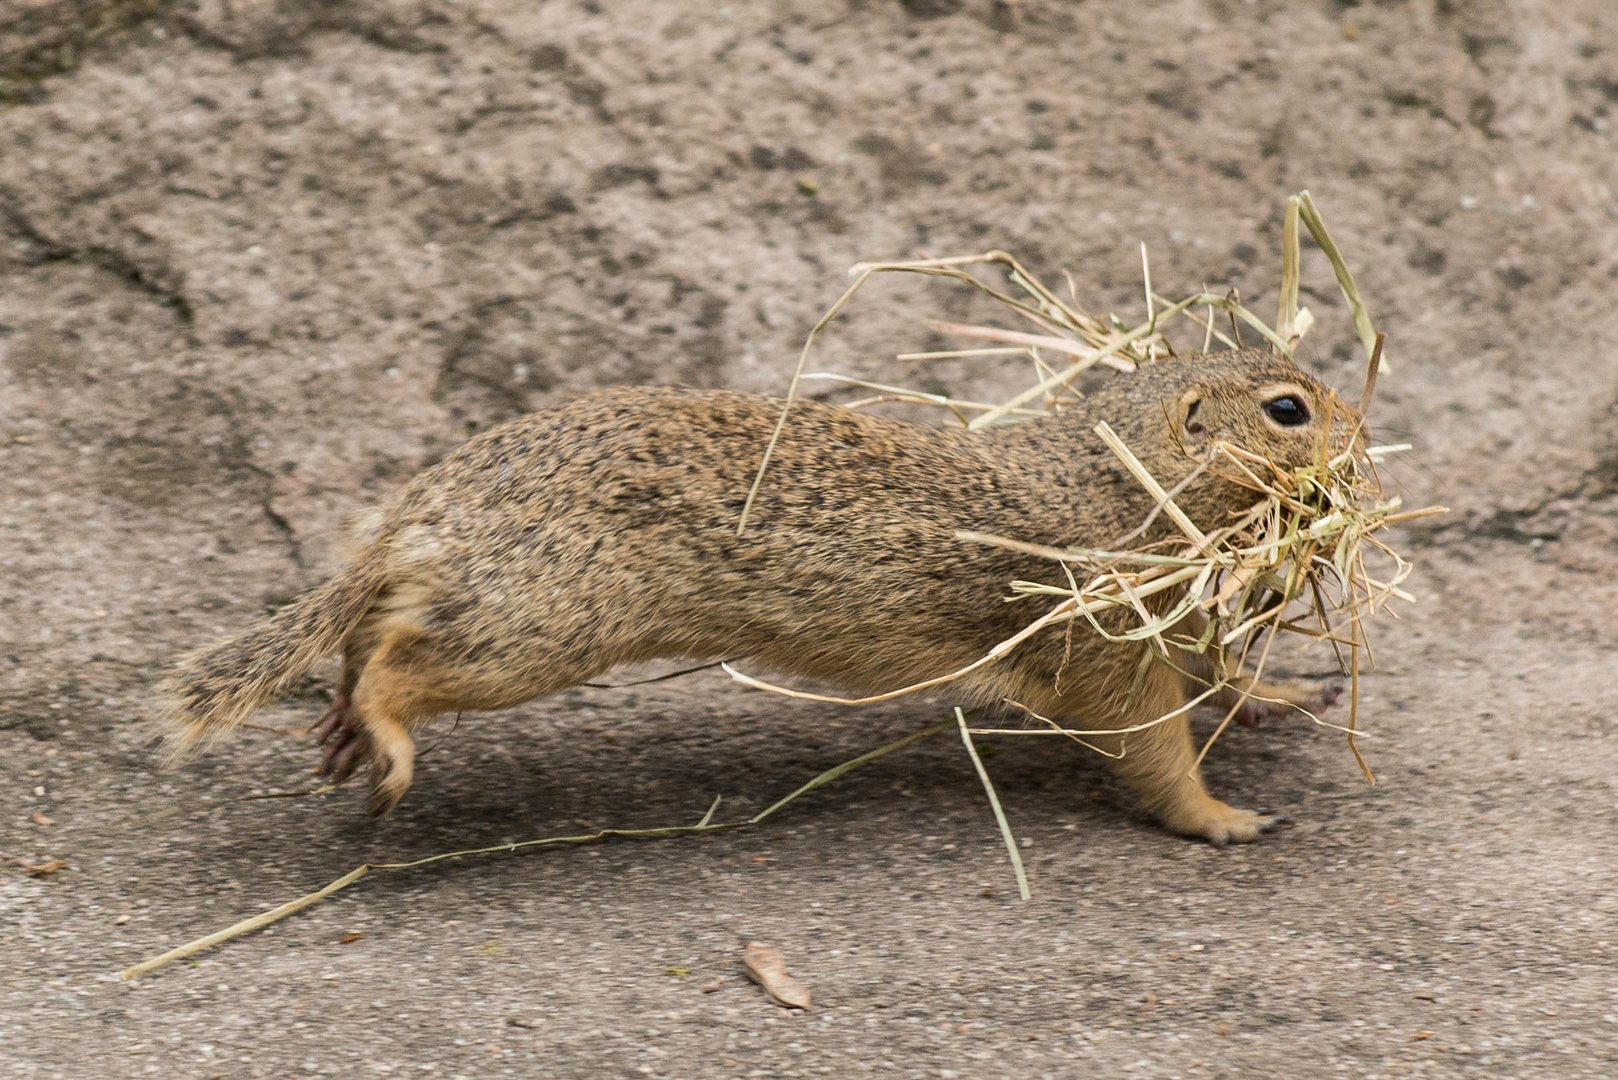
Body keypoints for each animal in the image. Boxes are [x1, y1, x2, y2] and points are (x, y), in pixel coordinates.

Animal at [164, 346, 1359, 841]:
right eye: (1290, 409)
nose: (1362, 435)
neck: (1108, 476)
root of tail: (428, 506)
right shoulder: (1105, 647)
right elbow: (1156, 752)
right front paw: (1227, 820)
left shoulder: (1177, 619)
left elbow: (1221, 676)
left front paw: (1287, 696)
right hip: (535, 629)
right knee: (397, 664)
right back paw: (383, 740)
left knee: (367, 636)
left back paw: (338, 730)